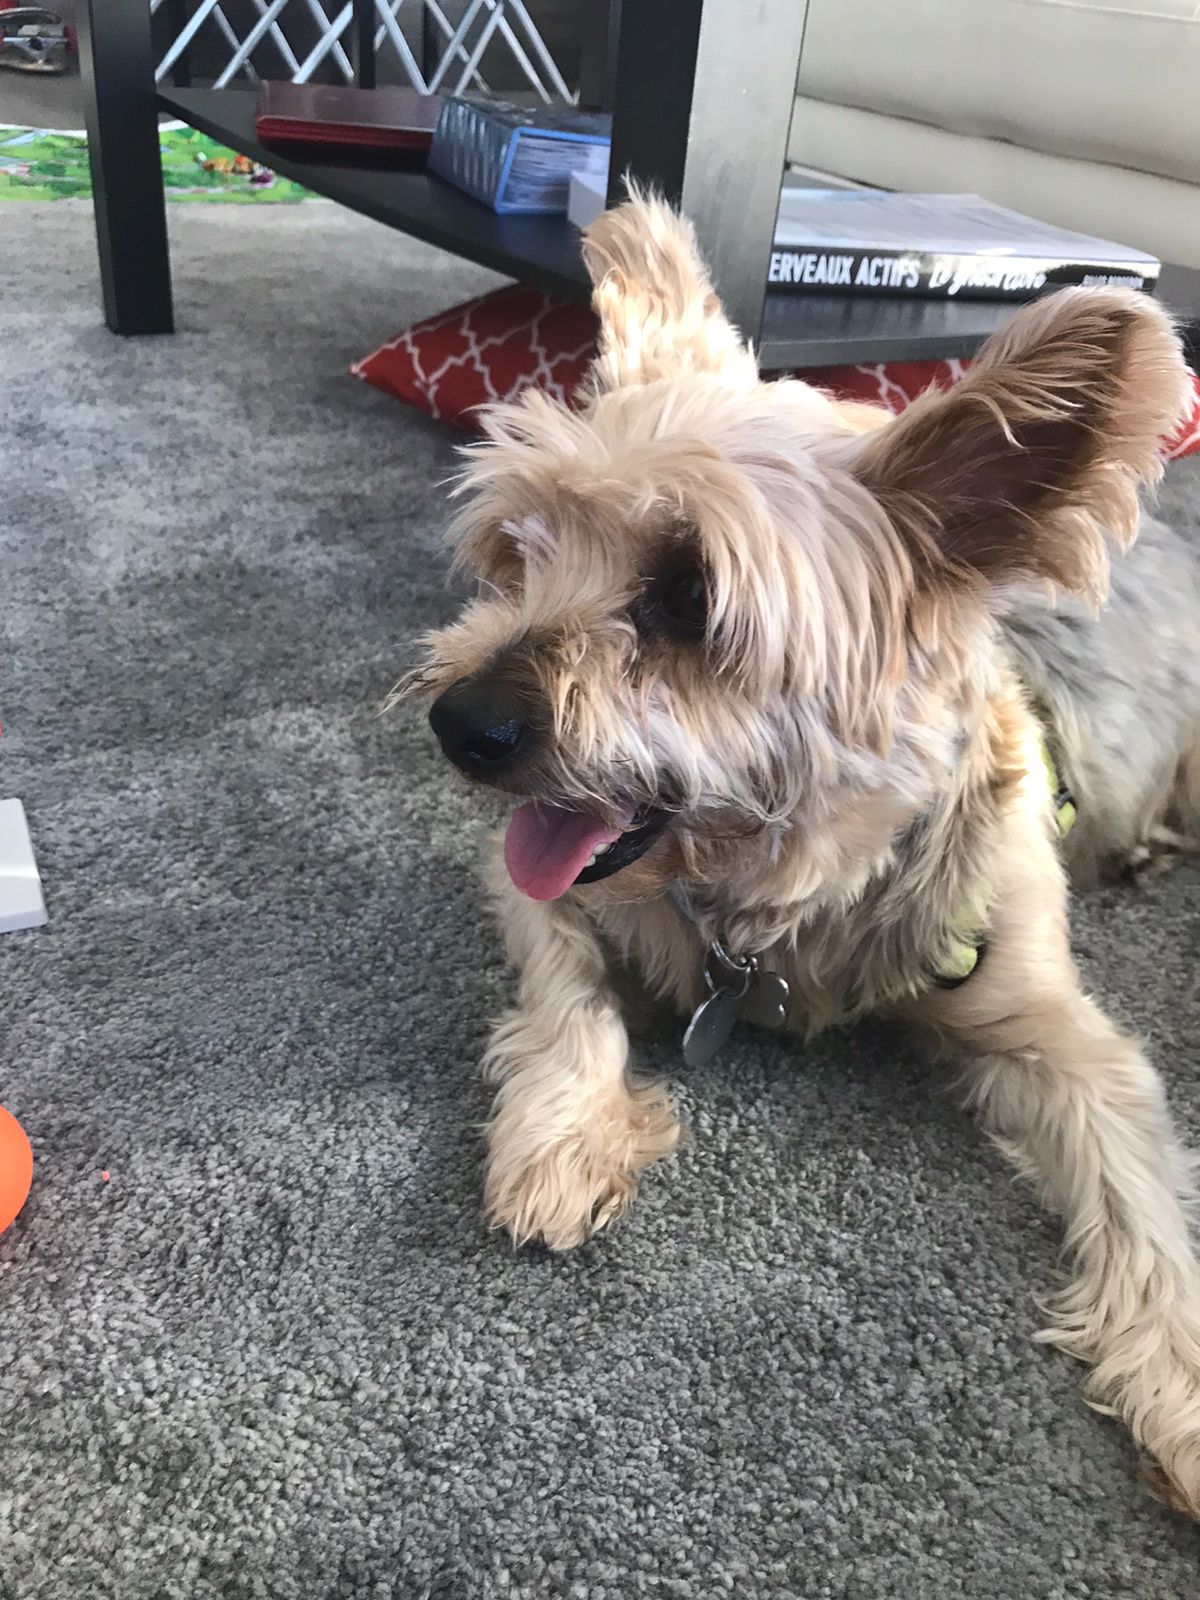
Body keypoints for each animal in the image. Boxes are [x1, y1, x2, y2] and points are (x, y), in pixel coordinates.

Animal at [403, 192, 1200, 1515]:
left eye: (686, 597)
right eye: (519, 552)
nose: (460, 726)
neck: (769, 894)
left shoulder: (1055, 1028)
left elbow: (1138, 1185)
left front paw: (1183, 1388)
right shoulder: (545, 893)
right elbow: (571, 999)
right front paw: (564, 1135)